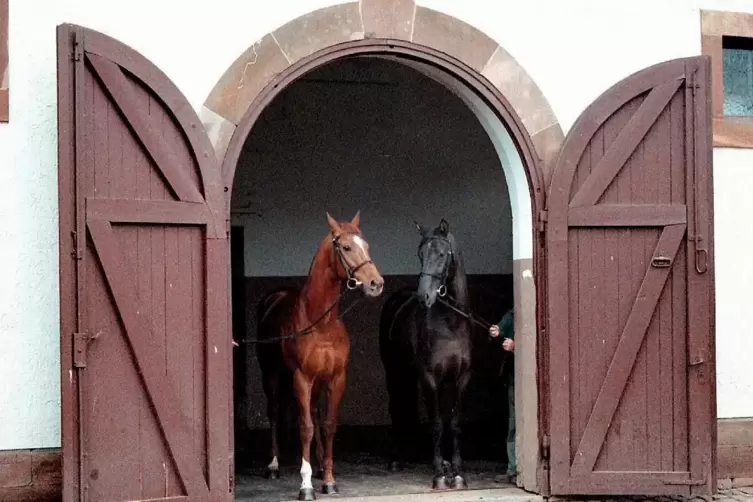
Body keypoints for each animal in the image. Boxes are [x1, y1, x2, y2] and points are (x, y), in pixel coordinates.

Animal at [254, 212, 382, 498]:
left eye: (367, 246)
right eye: (346, 247)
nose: (376, 284)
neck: (320, 322)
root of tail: (274, 298)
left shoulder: (336, 377)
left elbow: (328, 425)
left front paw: (329, 479)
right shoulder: (301, 378)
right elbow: (306, 428)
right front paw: (306, 485)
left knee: (312, 412)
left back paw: (320, 466)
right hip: (272, 373)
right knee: (274, 412)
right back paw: (273, 465)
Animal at [382, 220, 470, 490]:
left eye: (442, 254)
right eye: (421, 255)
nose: (424, 297)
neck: (451, 324)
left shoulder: (460, 378)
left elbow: (454, 423)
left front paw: (458, 474)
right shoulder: (430, 377)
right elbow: (437, 424)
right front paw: (439, 475)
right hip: (394, 372)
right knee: (396, 408)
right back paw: (395, 459)